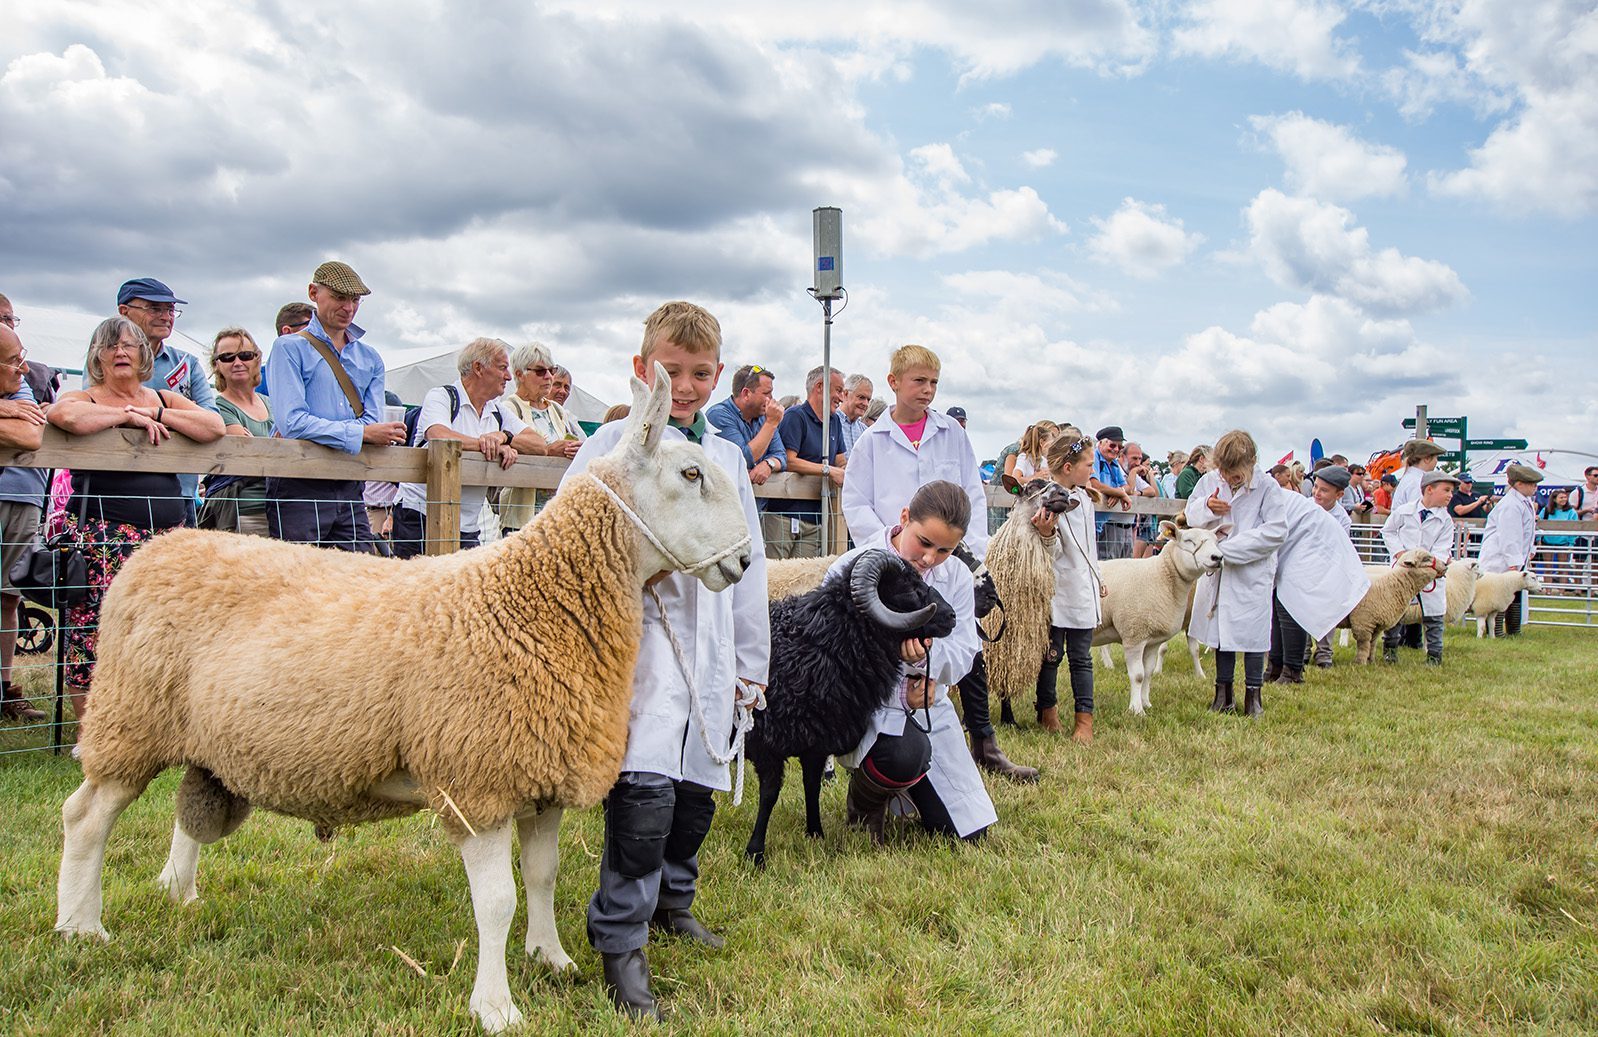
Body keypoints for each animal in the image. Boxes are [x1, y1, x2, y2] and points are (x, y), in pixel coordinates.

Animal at [54, 367, 760, 1029]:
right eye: (691, 472)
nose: (748, 563)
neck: (533, 601)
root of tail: (156, 548)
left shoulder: (542, 773)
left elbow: (543, 877)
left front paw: (551, 957)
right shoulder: (477, 781)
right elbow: (498, 902)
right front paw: (495, 1007)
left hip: (204, 739)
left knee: (186, 810)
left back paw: (178, 891)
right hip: (130, 717)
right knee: (85, 816)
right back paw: (80, 927)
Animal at [1093, 517, 1214, 712]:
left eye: (1216, 541)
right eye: (1188, 540)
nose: (1217, 557)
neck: (1161, 575)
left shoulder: (1153, 640)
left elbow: (1148, 673)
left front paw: (1146, 703)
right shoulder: (1134, 635)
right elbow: (1138, 675)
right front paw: (1136, 710)